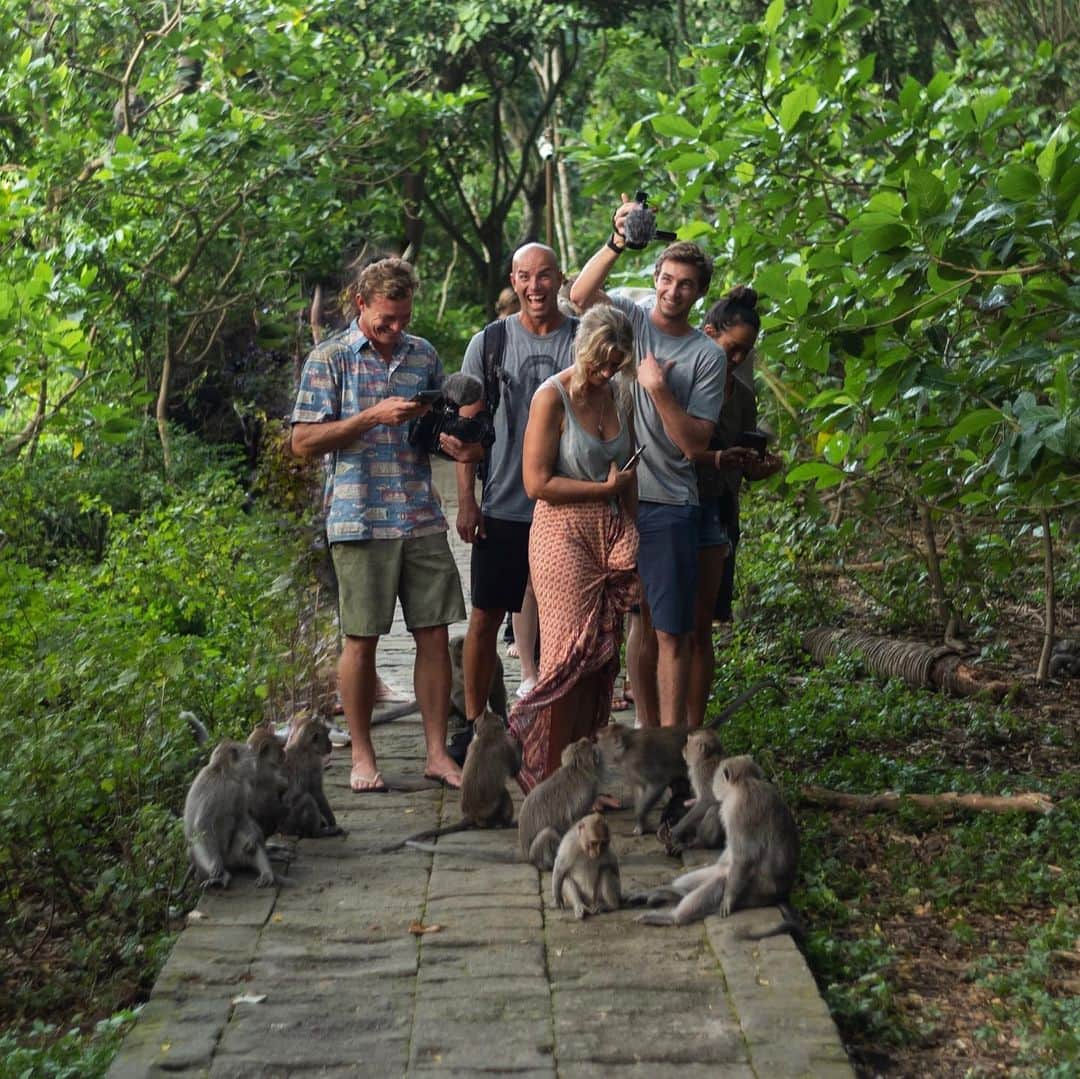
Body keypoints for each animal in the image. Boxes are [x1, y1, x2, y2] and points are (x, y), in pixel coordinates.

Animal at [182, 738, 276, 889]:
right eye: (249, 752)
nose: (254, 764)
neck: (226, 775)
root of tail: (229, 863)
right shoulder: (213, 790)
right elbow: (202, 825)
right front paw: (216, 864)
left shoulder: (239, 789)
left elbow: (241, 816)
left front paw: (253, 837)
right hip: (215, 858)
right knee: (196, 845)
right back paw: (221, 876)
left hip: (233, 855)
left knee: (243, 840)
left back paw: (266, 872)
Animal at [630, 756, 799, 933]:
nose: (714, 783)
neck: (744, 784)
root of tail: (781, 894)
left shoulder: (739, 809)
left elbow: (745, 856)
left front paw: (728, 899)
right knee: (715, 873)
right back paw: (668, 892)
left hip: (755, 893)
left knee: (720, 881)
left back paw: (673, 917)